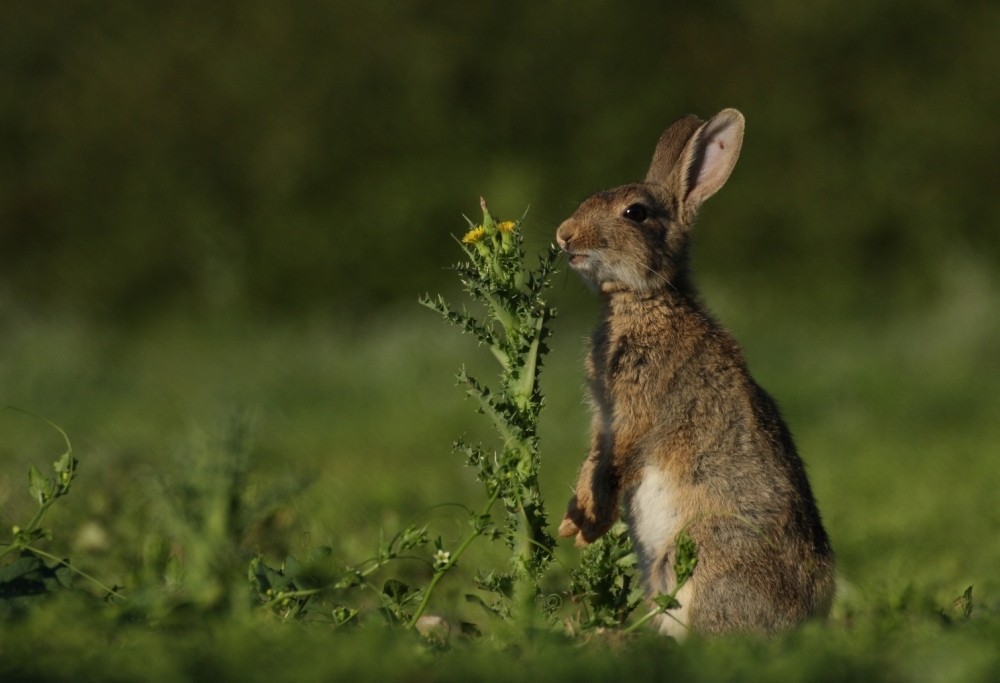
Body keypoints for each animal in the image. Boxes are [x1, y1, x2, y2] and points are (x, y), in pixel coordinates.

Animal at [556, 109, 836, 640]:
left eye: (635, 213)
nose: (563, 235)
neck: (645, 298)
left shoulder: (638, 412)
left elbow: (616, 461)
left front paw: (590, 523)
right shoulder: (604, 416)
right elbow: (592, 456)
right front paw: (573, 523)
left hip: (703, 552)